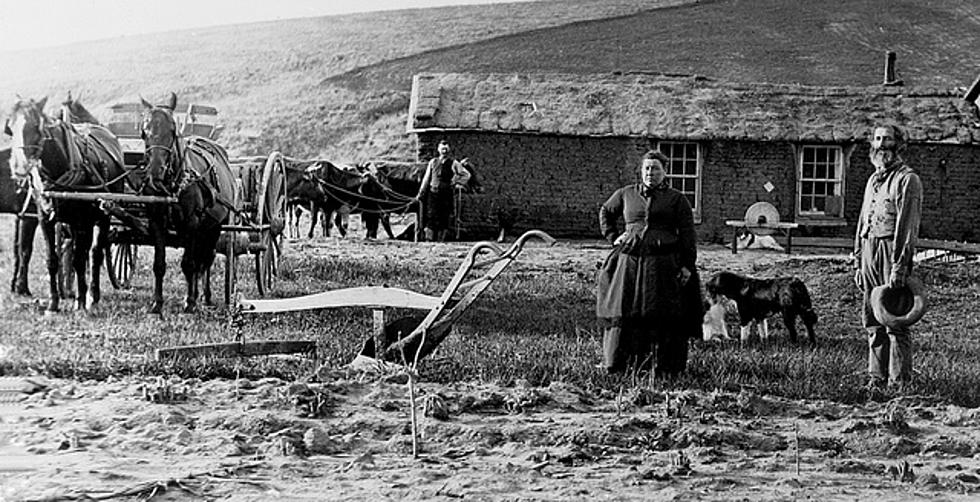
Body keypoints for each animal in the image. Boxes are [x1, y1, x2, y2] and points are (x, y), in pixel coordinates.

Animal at [3, 96, 126, 312]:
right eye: (9, 128)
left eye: (36, 126)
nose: (18, 168)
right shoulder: (44, 218)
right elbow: (52, 259)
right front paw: (53, 302)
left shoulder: (81, 221)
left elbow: (79, 258)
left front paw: (80, 300)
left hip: (104, 214)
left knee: (95, 253)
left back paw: (92, 294)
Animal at [139, 93, 234, 312]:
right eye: (144, 132)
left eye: (173, 130)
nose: (155, 173)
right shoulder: (157, 222)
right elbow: (159, 264)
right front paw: (157, 302)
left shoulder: (191, 223)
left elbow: (189, 264)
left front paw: (189, 302)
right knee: (200, 261)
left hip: (215, 226)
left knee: (206, 259)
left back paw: (204, 296)